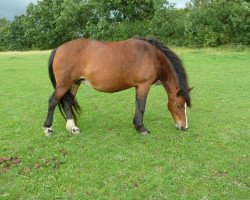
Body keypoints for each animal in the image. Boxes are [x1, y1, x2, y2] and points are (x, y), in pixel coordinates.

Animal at [43, 37, 192, 136]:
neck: (152, 56)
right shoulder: (144, 85)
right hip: (64, 84)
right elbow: (142, 106)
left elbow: (137, 105)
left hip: (74, 84)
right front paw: (142, 128)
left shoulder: (138, 87)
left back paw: (73, 128)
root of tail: (58, 49)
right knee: (53, 101)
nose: (184, 127)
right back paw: (48, 128)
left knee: (67, 102)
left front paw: (137, 125)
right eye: (179, 105)